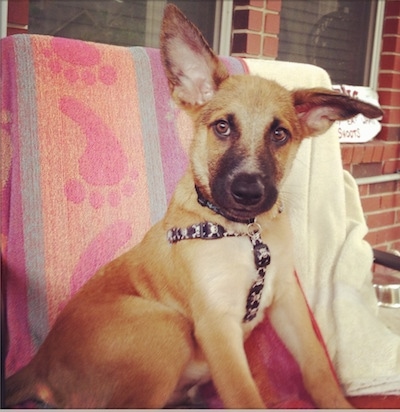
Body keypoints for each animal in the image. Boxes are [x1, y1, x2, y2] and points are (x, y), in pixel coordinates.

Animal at [5, 4, 382, 408]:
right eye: (222, 127)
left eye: (279, 134)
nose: (248, 192)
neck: (245, 232)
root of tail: (39, 365)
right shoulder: (217, 324)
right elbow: (245, 396)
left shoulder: (287, 299)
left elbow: (317, 367)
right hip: (166, 327)